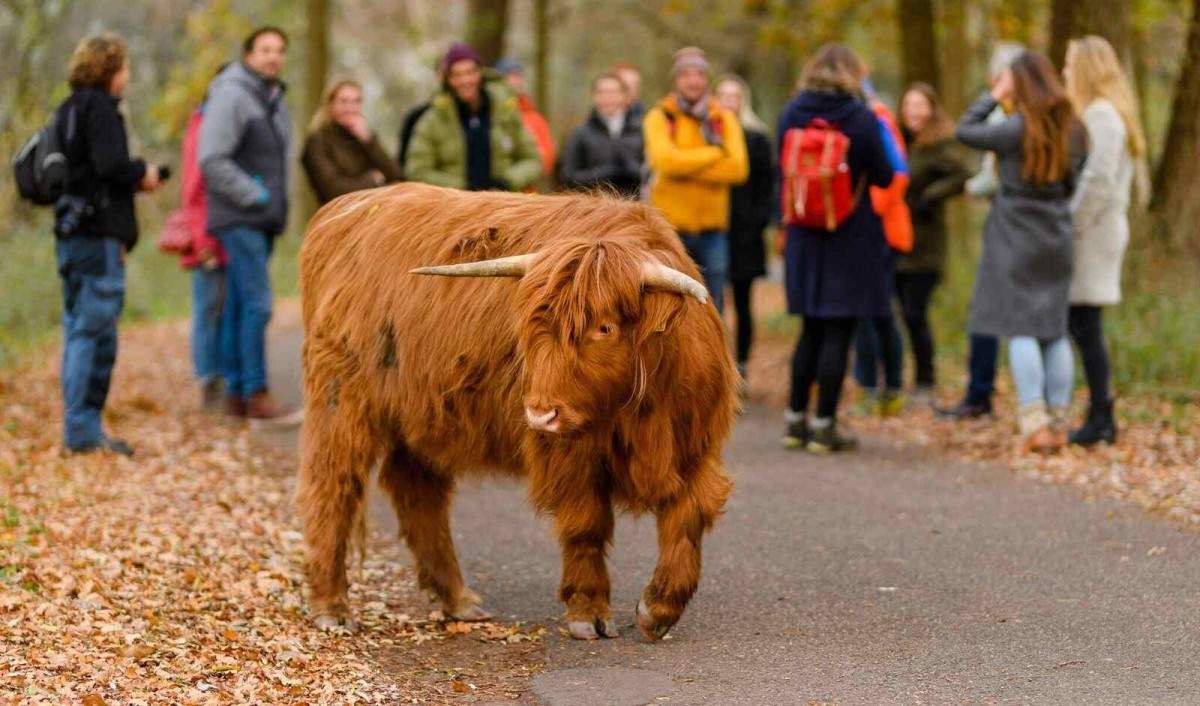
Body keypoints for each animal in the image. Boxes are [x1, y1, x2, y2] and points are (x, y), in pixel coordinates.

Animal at [295, 182, 734, 638]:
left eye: (604, 328)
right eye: (532, 327)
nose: (540, 414)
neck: (642, 411)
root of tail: (346, 207)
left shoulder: (697, 448)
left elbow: (689, 517)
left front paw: (659, 608)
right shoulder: (568, 455)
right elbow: (586, 524)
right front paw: (588, 612)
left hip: (420, 414)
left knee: (415, 490)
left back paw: (457, 600)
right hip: (340, 394)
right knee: (333, 485)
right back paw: (332, 606)